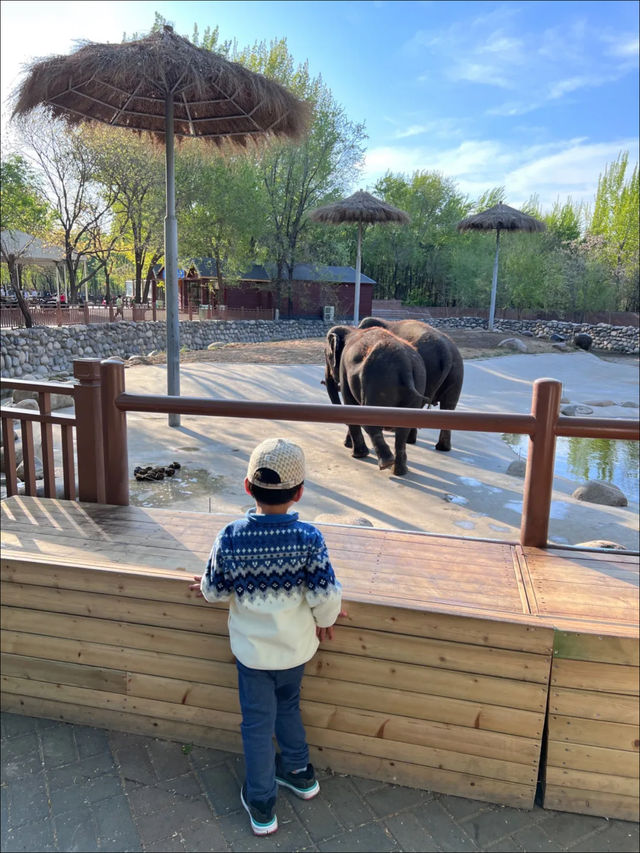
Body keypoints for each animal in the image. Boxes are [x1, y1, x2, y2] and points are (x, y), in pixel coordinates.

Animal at [322, 324, 428, 476]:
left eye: (326, 356)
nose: (346, 443)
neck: (351, 329)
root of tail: (406, 365)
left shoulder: (344, 369)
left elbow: (350, 404)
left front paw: (357, 454)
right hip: (418, 380)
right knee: (403, 428)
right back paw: (399, 471)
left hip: (377, 381)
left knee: (370, 421)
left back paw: (386, 463)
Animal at [358, 318, 462, 452]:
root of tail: (446, 352)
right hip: (456, 372)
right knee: (449, 405)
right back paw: (443, 448)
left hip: (430, 370)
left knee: (419, 405)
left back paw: (409, 440)